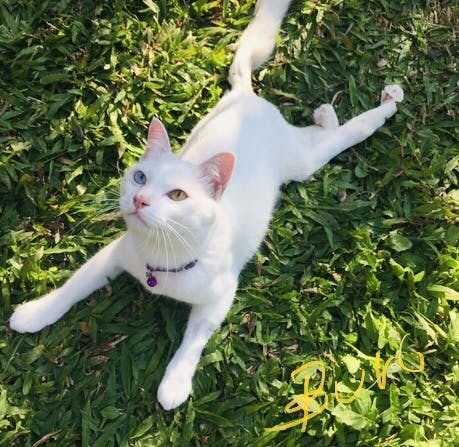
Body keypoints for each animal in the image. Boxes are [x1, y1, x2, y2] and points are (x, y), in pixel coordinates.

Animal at [9, 0, 404, 410]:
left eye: (177, 196)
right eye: (140, 177)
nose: (139, 199)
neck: (162, 258)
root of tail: (248, 98)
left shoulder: (220, 296)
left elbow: (194, 339)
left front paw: (175, 382)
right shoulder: (113, 255)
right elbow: (74, 285)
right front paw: (36, 313)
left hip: (302, 163)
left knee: (345, 135)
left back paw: (384, 107)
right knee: (321, 133)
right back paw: (328, 115)